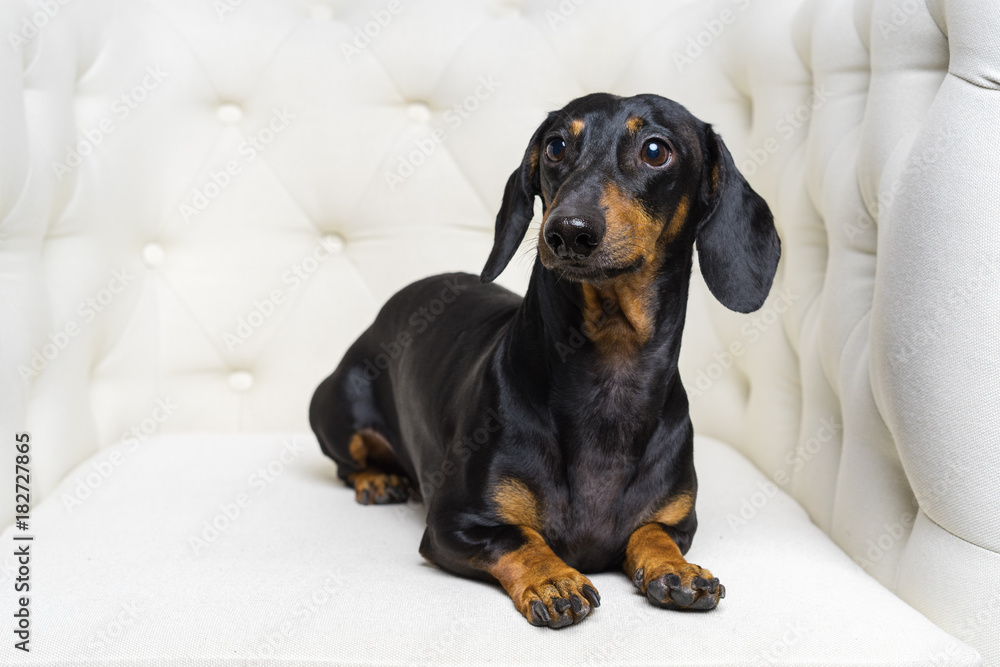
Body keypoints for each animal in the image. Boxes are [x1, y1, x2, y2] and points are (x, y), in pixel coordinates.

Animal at [310, 92, 780, 628]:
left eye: (655, 150)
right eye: (555, 146)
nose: (569, 232)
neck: (611, 372)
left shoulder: (680, 520)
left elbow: (652, 532)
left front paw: (677, 570)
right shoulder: (455, 523)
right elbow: (520, 538)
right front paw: (554, 578)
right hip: (333, 409)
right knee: (346, 462)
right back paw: (377, 479)